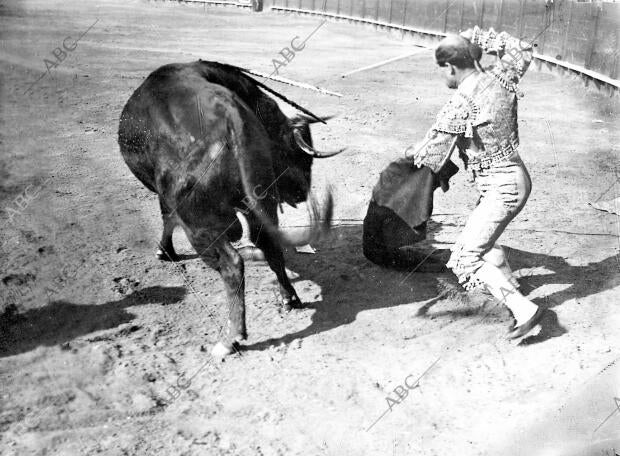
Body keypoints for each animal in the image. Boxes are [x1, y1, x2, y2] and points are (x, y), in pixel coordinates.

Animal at [118, 60, 342, 358]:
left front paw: (164, 251)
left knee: (232, 265)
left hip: (200, 225)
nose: (302, 193)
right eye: (299, 155)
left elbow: (167, 219)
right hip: (260, 204)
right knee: (270, 246)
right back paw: (289, 298)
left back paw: (229, 339)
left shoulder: (170, 200)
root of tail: (231, 116)